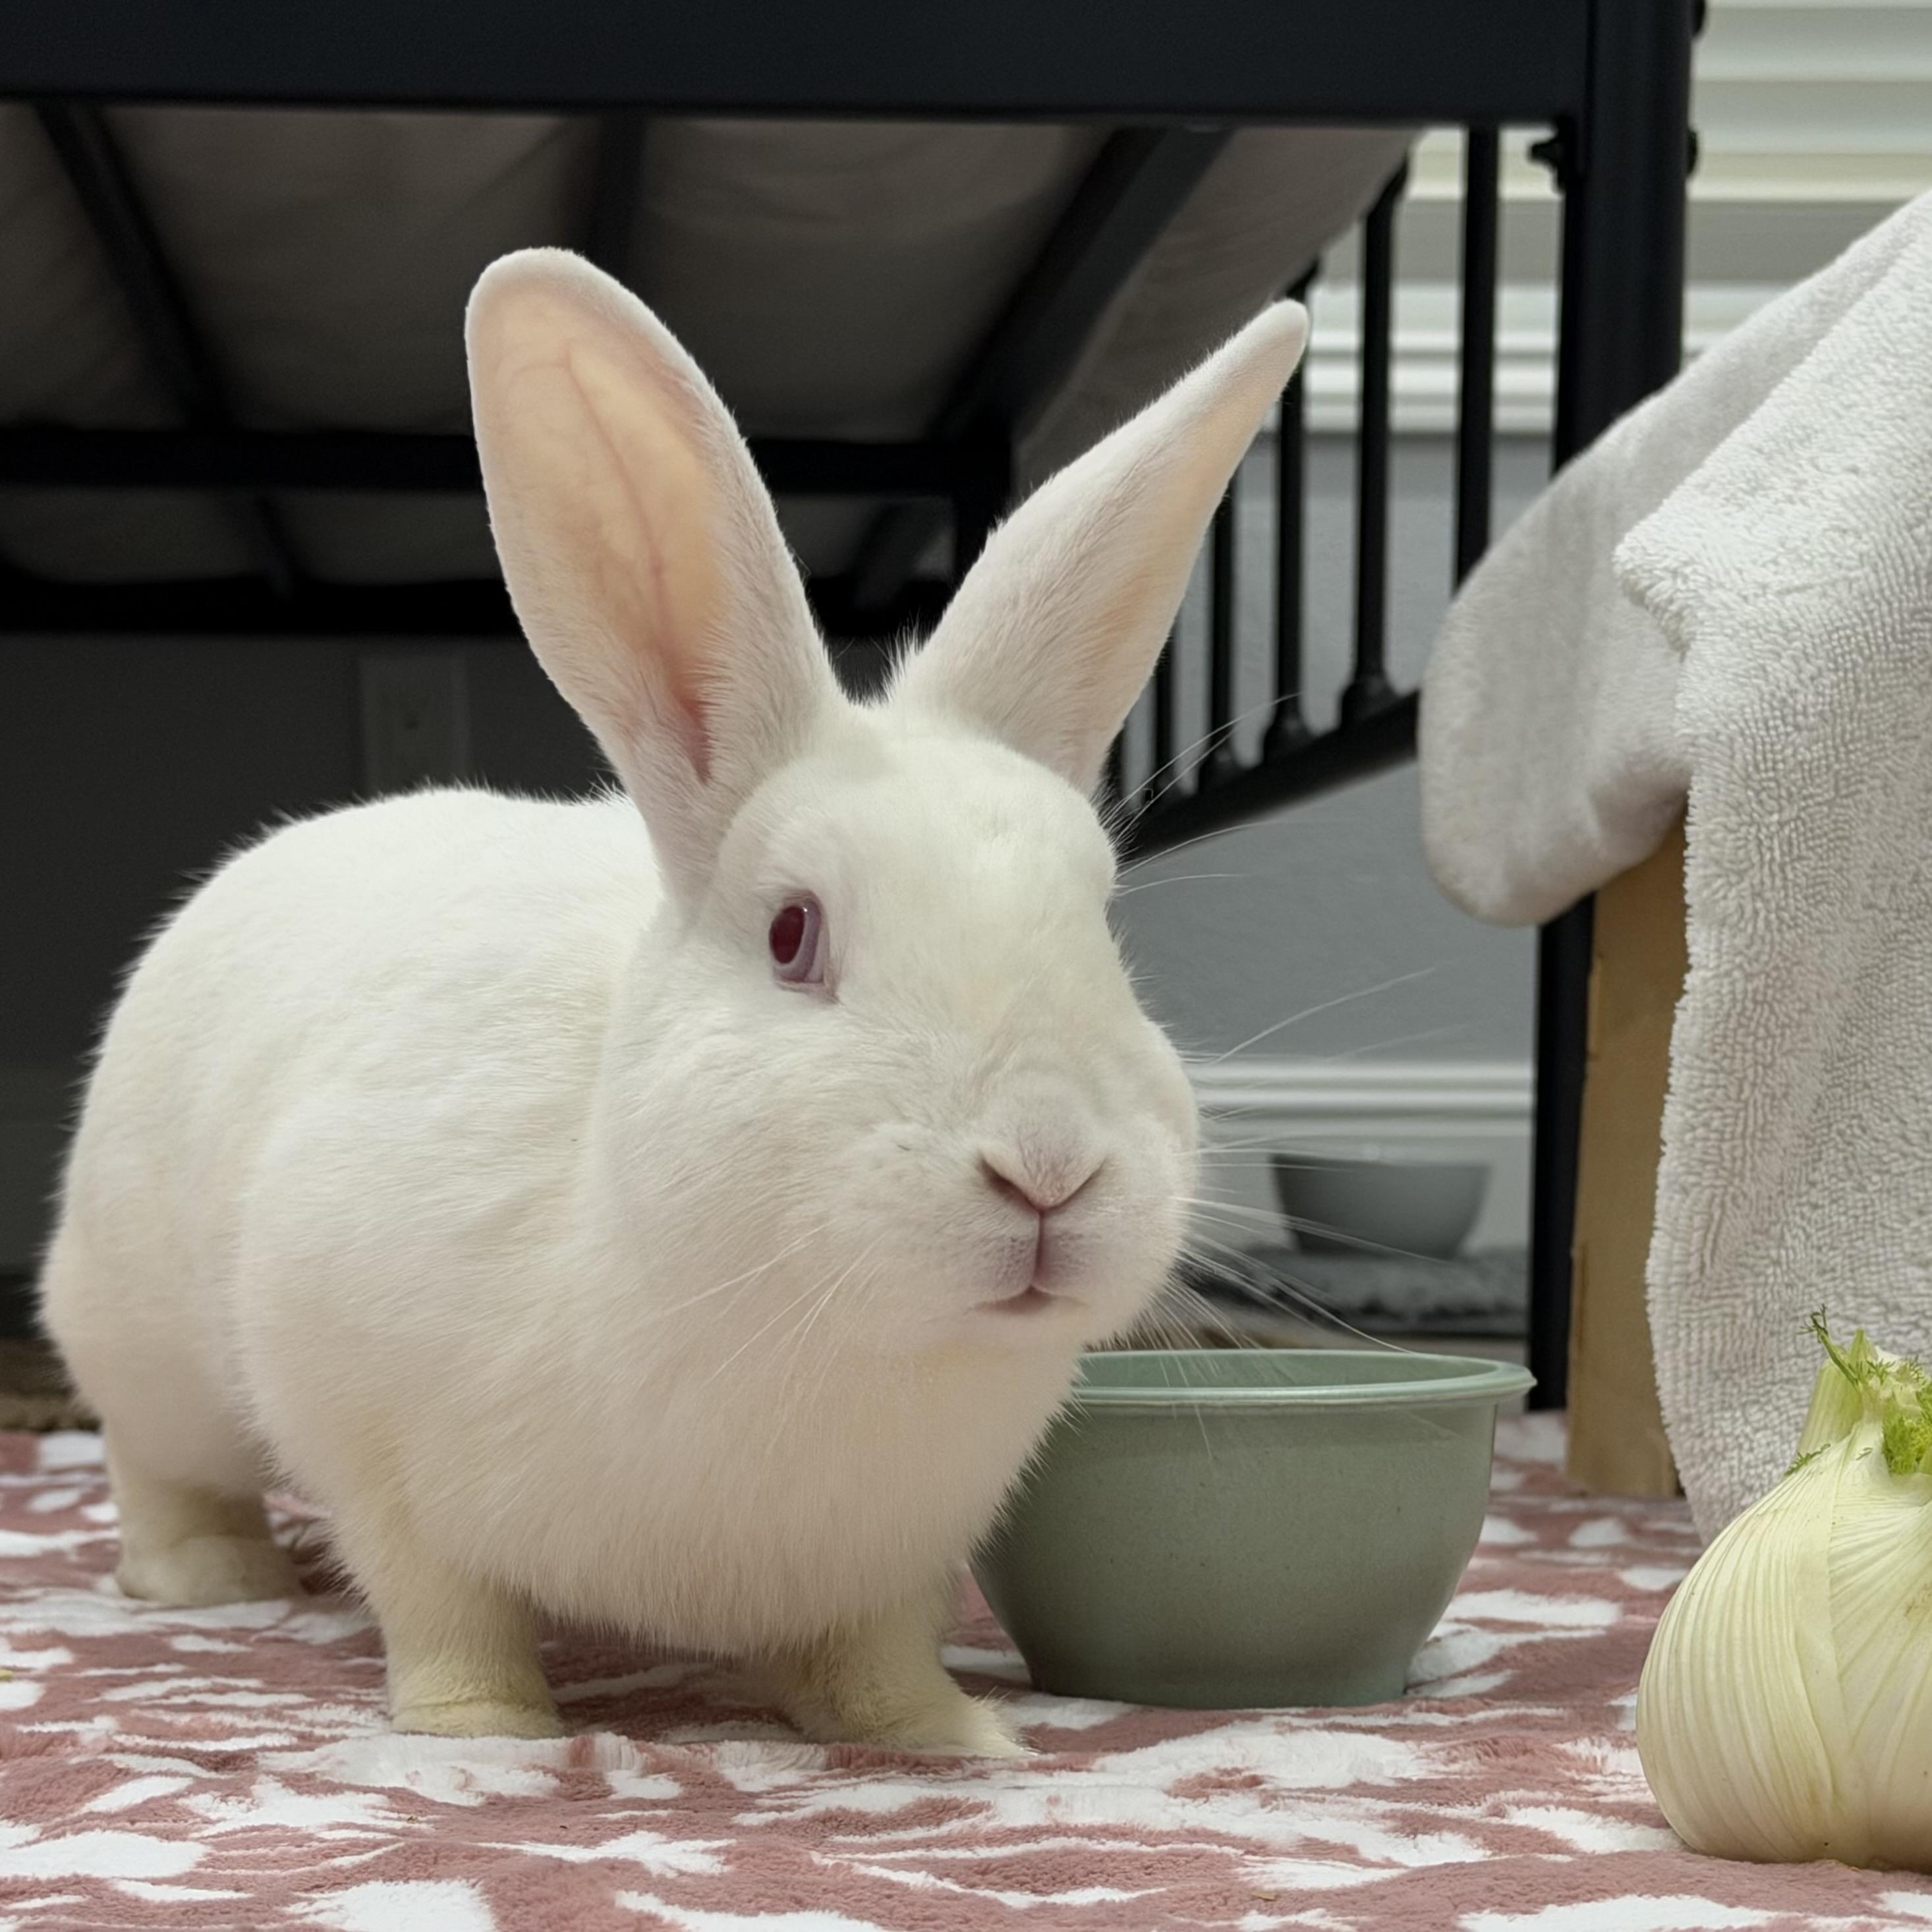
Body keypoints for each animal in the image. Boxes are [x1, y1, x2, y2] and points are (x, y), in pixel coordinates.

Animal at [39, 248, 1307, 1756]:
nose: (1047, 1166)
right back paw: (212, 1580)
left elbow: (881, 1650)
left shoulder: (895, 1560)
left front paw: (943, 1734)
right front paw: (484, 1732)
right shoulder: (370, 1425)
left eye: (1102, 924)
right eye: (791, 933)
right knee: (156, 1462)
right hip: (144, 1342)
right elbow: (438, 1600)